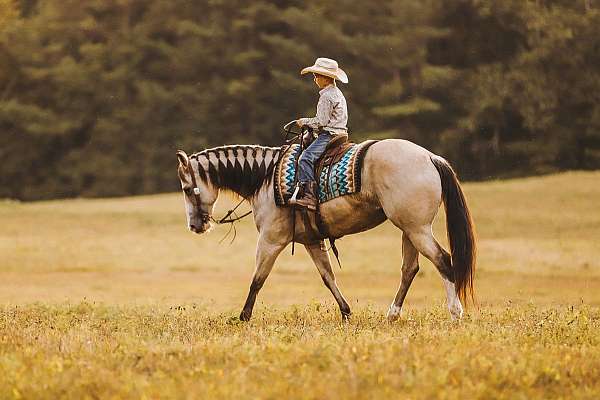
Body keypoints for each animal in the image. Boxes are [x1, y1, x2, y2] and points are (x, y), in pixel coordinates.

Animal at [176, 138, 476, 322]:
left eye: (187, 189)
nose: (195, 226)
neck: (266, 177)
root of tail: (430, 157)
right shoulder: (312, 240)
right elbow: (327, 277)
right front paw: (346, 312)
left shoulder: (271, 240)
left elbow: (257, 279)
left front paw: (243, 317)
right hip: (409, 229)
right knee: (410, 269)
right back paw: (392, 315)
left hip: (417, 229)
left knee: (443, 261)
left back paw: (455, 312)